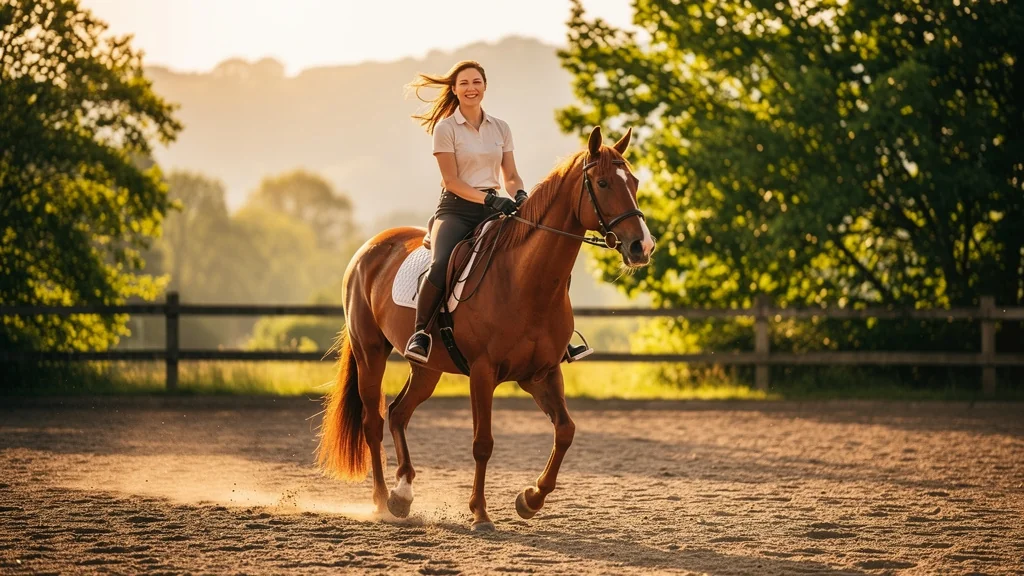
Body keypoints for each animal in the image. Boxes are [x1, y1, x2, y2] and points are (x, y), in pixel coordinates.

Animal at [315, 126, 655, 531]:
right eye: (603, 183)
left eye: (634, 181)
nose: (642, 246)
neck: (525, 282)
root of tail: (369, 248)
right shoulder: (482, 372)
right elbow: (483, 443)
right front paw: (480, 513)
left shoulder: (541, 373)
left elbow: (566, 430)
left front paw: (530, 499)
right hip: (370, 353)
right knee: (373, 421)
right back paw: (383, 500)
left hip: (427, 368)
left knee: (398, 413)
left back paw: (403, 495)